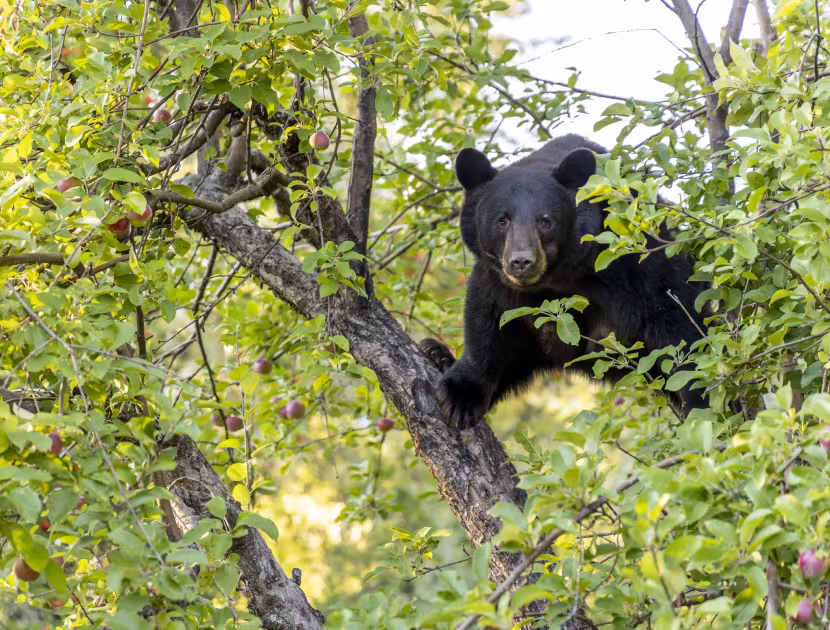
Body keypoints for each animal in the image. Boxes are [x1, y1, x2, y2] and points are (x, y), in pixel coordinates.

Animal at [420, 134, 706, 429]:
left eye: (545, 221)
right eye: (502, 220)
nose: (521, 261)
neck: (557, 280)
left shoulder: (632, 259)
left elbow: (676, 322)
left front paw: (699, 403)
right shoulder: (498, 283)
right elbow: (486, 323)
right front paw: (461, 396)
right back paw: (437, 353)